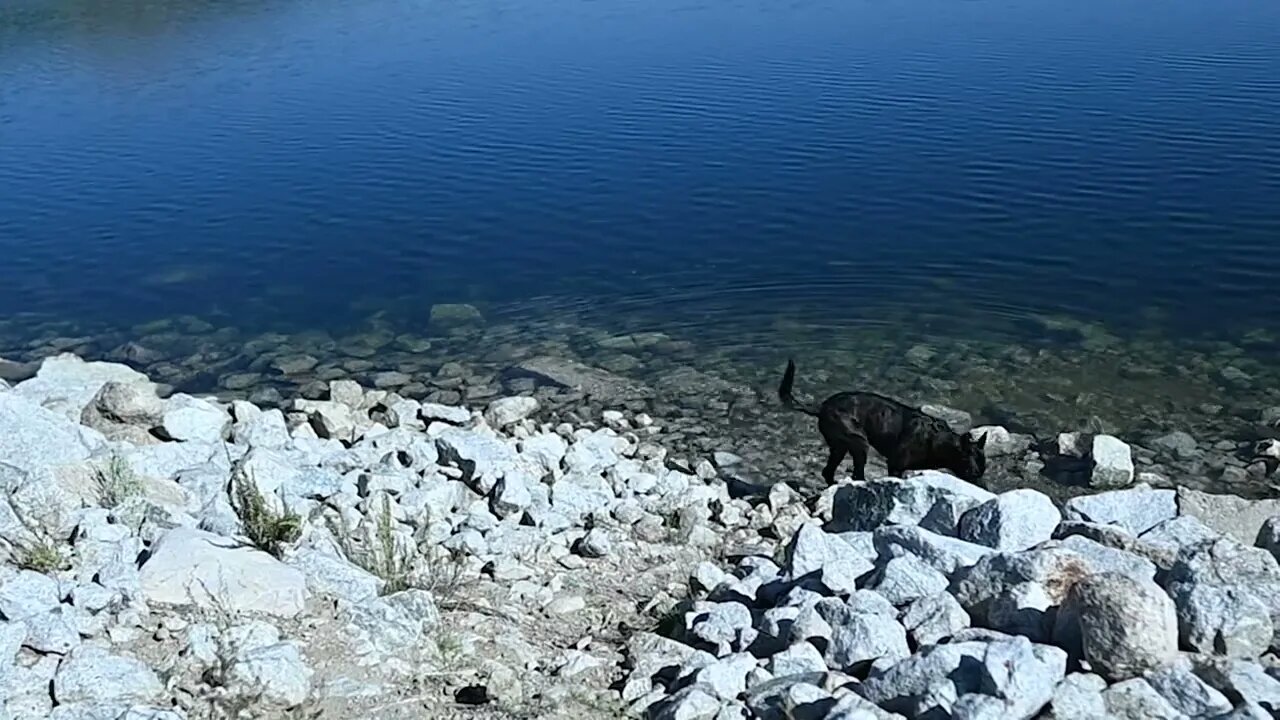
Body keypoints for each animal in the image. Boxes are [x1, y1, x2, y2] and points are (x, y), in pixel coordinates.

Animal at [773, 358, 983, 481]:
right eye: (973, 472)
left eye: (983, 471)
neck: (936, 439)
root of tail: (821, 407)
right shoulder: (895, 465)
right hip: (858, 442)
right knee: (856, 473)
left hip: (841, 446)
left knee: (828, 471)